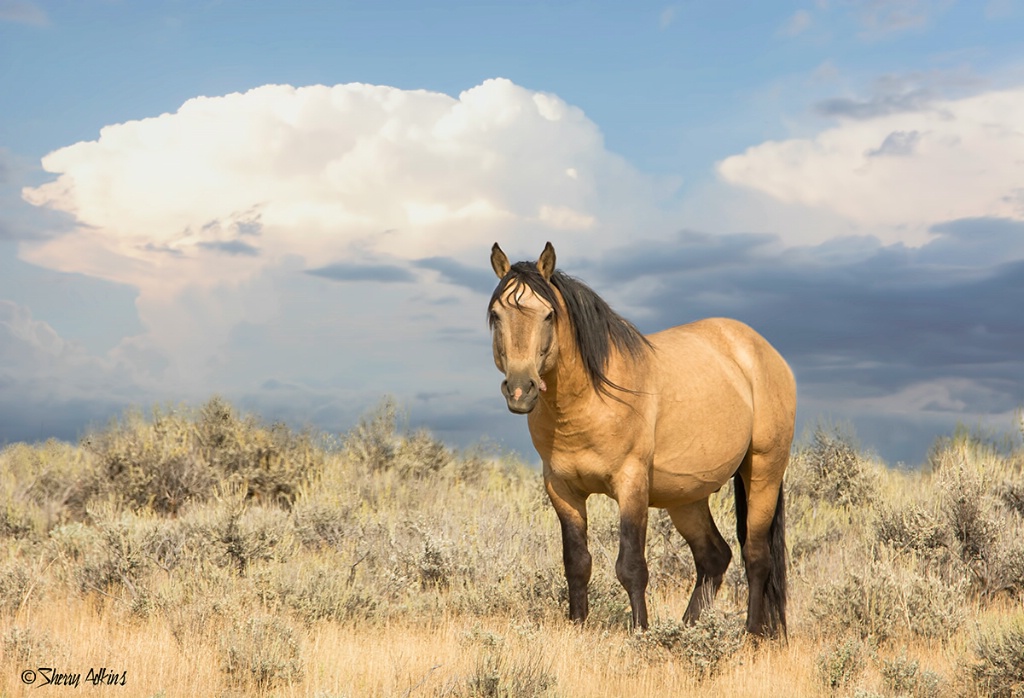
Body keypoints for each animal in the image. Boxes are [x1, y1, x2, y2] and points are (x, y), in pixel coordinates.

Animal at [487, 240, 798, 634]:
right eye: (496, 314)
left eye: (548, 315)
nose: (519, 390)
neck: (588, 400)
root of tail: (765, 352)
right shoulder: (561, 489)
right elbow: (577, 563)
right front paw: (578, 626)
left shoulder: (631, 483)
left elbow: (632, 566)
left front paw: (641, 631)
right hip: (687, 497)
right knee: (714, 557)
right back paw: (686, 629)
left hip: (763, 473)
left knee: (756, 556)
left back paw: (752, 634)